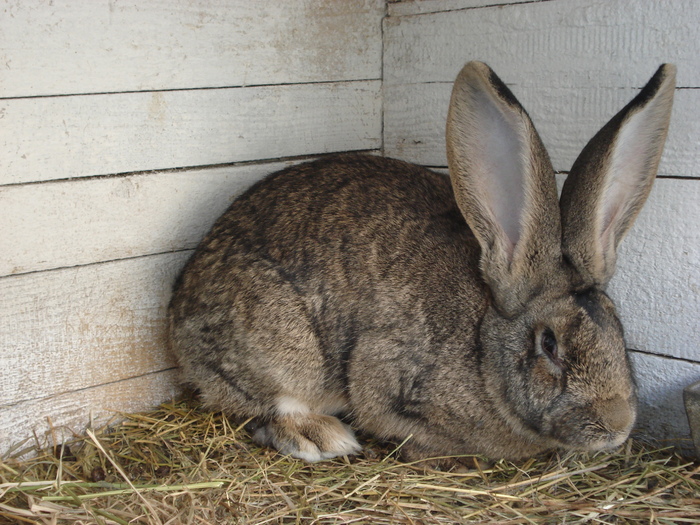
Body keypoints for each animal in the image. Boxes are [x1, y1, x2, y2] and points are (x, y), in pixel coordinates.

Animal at [167, 62, 676, 462]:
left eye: (619, 330)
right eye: (549, 344)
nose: (617, 425)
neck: (482, 347)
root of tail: (176, 310)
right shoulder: (387, 378)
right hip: (280, 347)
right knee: (263, 403)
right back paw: (323, 438)